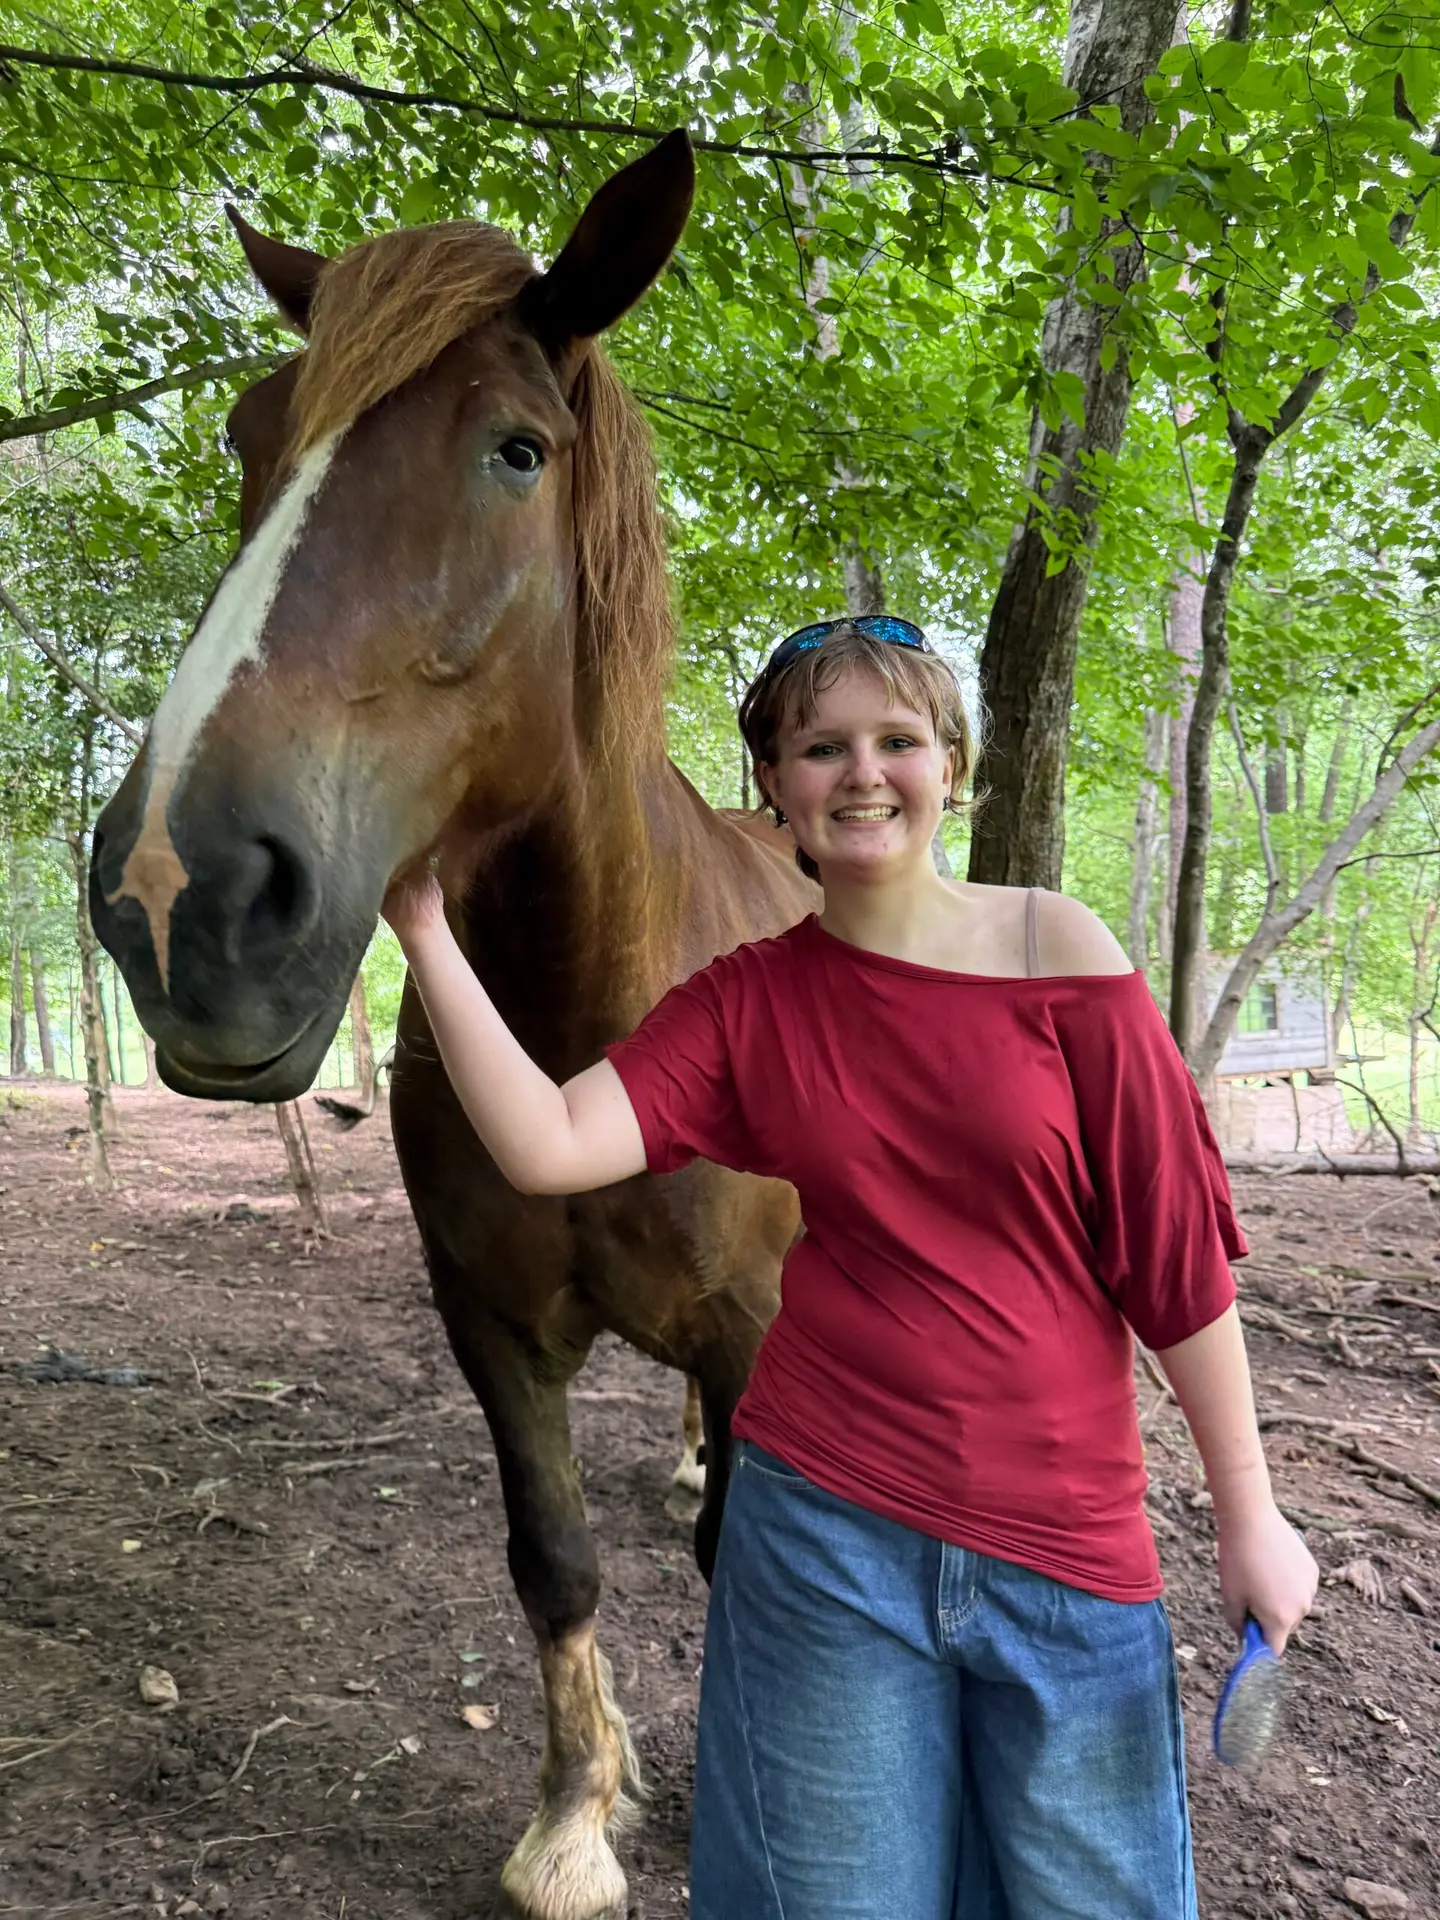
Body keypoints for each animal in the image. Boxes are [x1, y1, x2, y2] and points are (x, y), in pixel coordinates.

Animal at [89, 131, 813, 1920]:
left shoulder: (755, 1326)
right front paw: (576, 1814)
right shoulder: (486, 1320)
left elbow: (742, 1559)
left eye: (516, 449)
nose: (175, 888)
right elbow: (551, 1559)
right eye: (249, 436)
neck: (586, 1027)